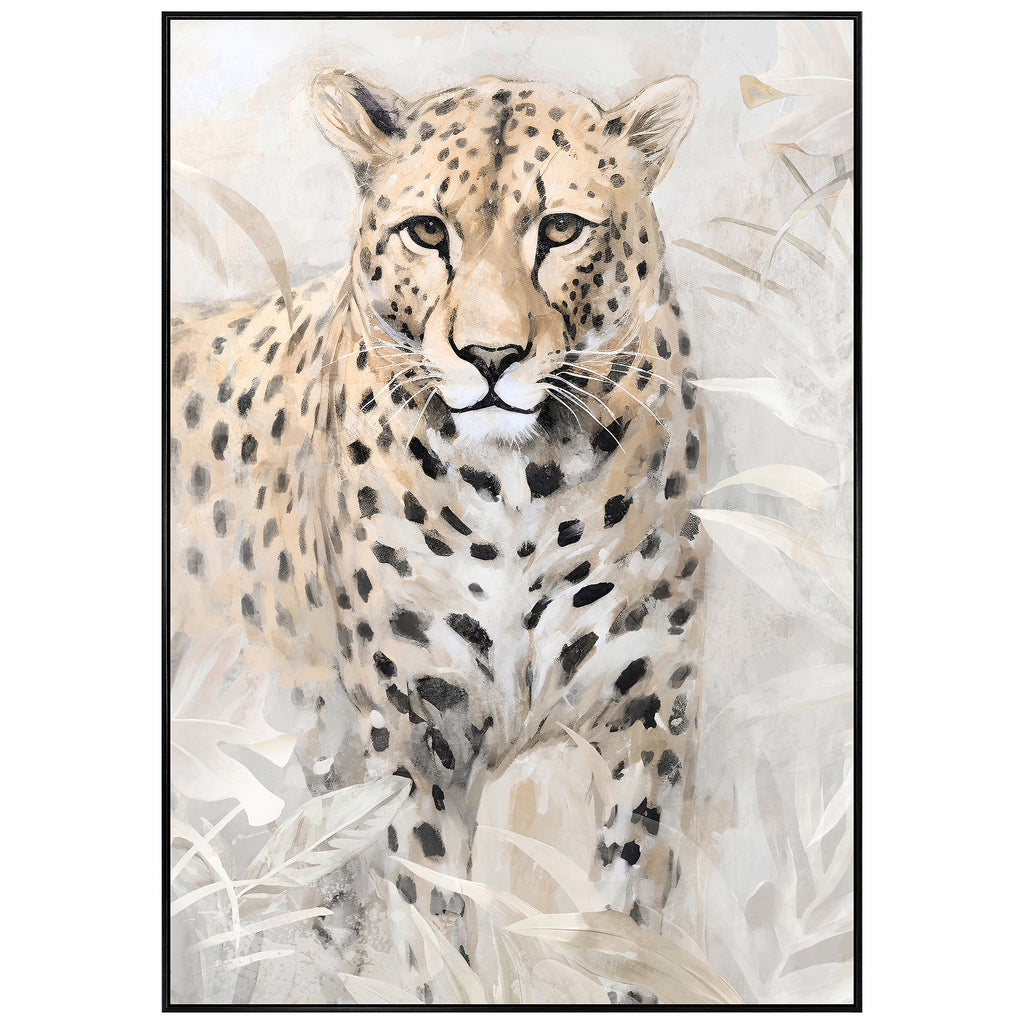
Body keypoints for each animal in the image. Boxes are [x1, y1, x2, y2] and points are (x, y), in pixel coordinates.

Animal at [170, 68, 708, 1004]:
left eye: (560, 228)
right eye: (428, 230)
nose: (490, 356)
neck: (525, 486)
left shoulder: (651, 712)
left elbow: (628, 918)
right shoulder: (416, 730)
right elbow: (436, 924)